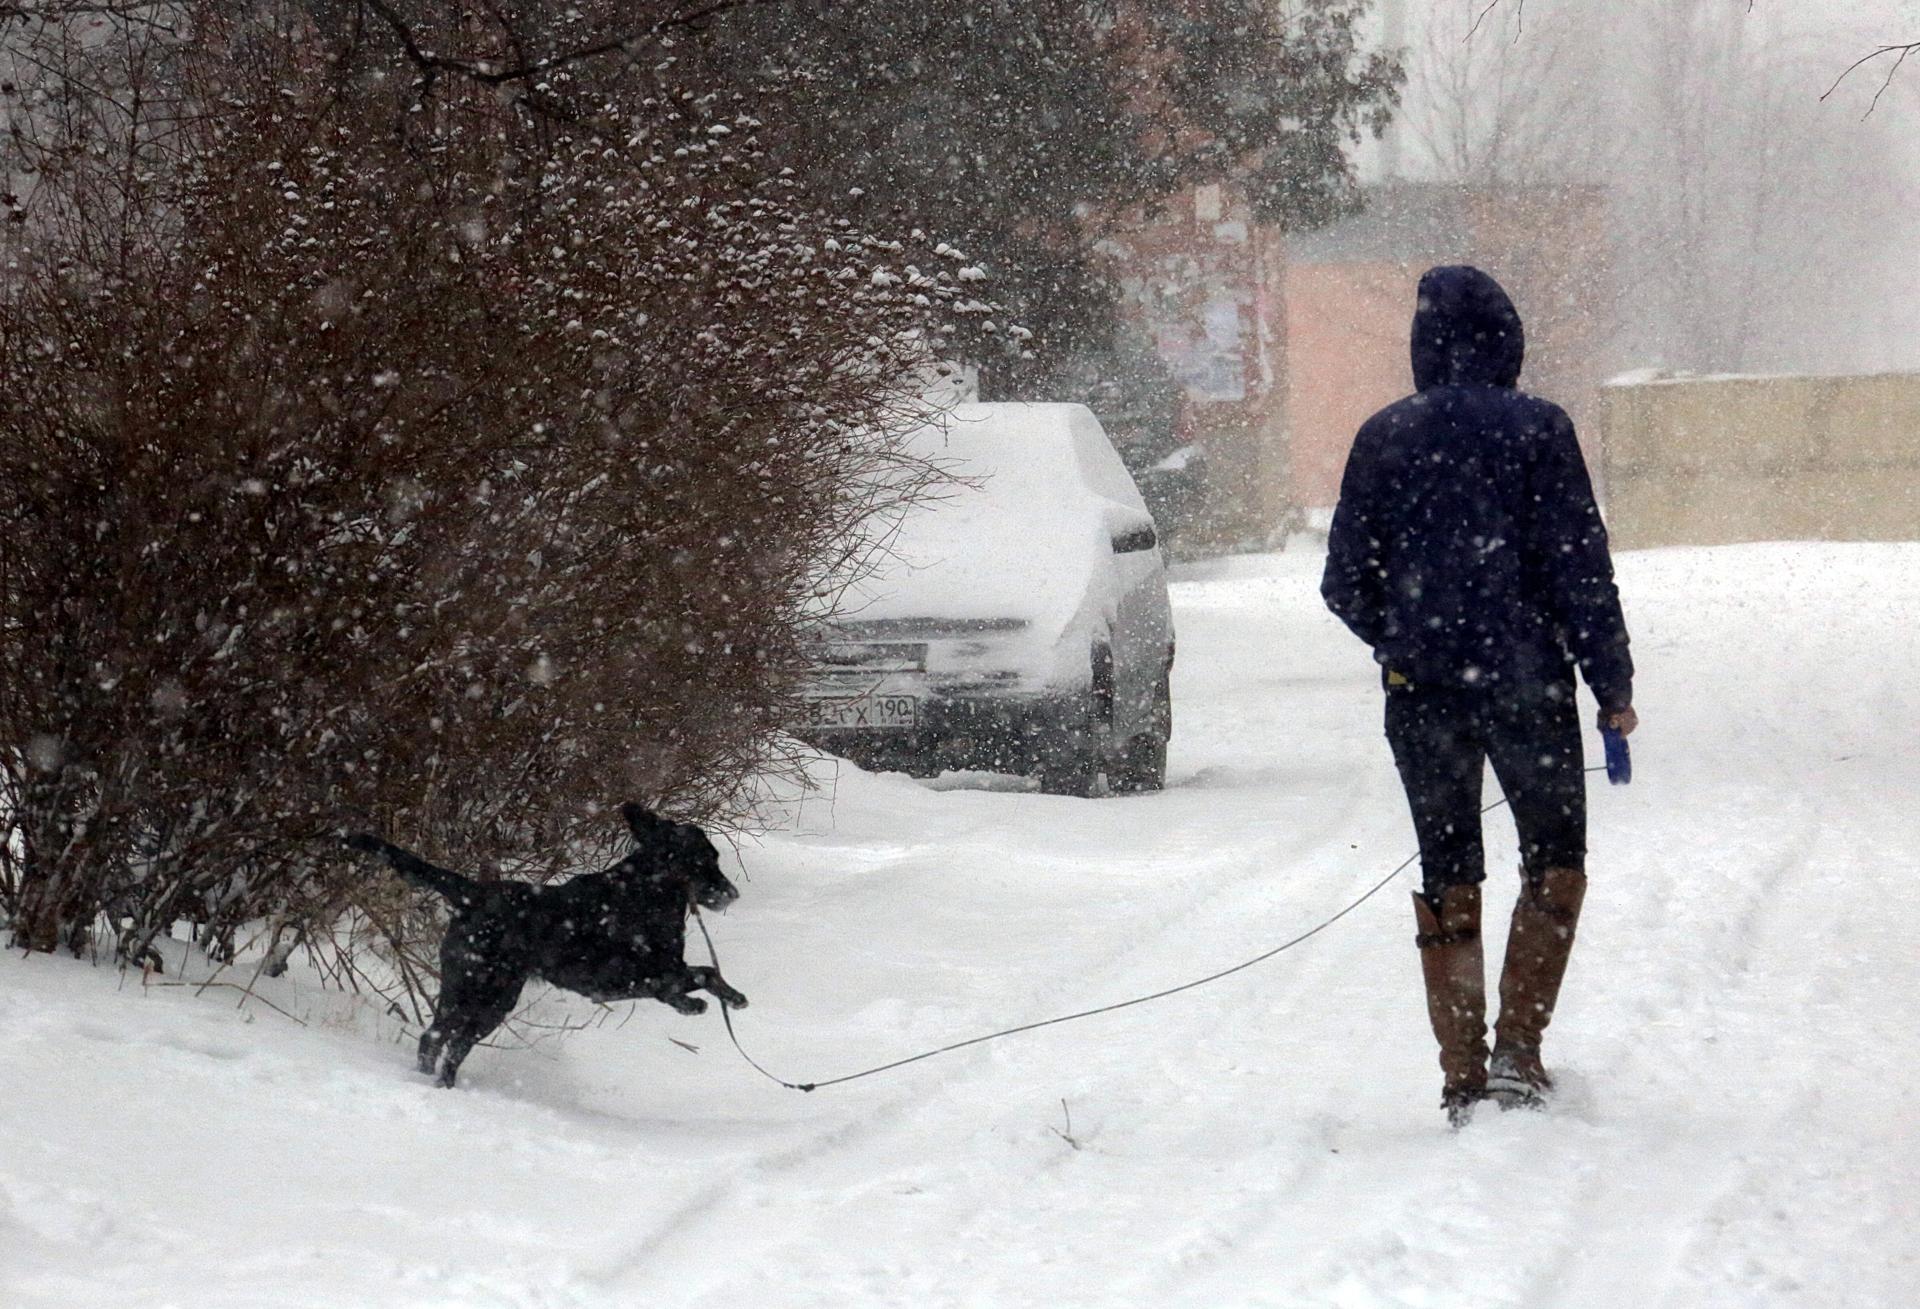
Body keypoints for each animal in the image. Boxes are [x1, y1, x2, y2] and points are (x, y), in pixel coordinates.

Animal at [345, 802, 741, 1082]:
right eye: (707, 859)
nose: (732, 894)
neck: (648, 891)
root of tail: (472, 893)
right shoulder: (643, 974)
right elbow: (702, 973)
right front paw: (720, 1000)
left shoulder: (656, 975)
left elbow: (697, 977)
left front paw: (709, 1001)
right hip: (483, 993)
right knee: (448, 1041)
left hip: (481, 994)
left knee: (437, 1039)